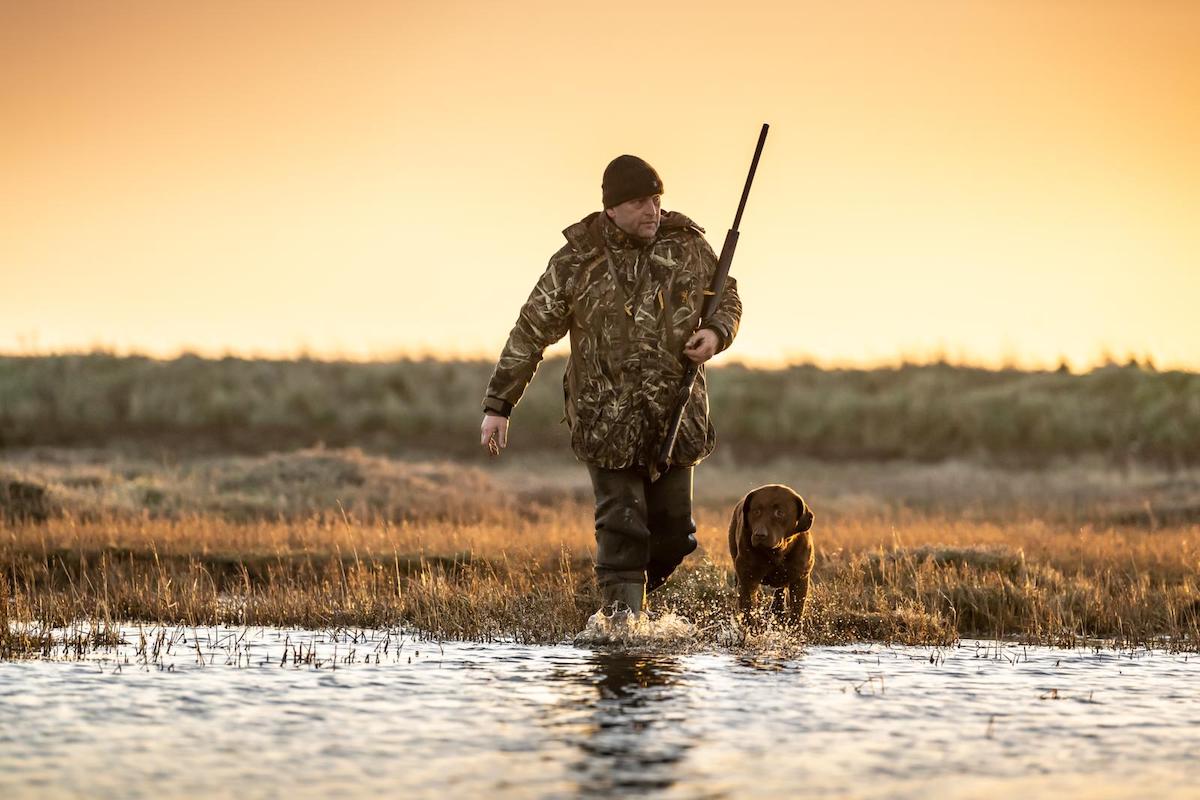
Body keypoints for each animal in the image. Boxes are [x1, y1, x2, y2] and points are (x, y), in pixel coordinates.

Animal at [724, 489, 811, 623]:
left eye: (780, 513)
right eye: (756, 511)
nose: (759, 535)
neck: (777, 553)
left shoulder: (800, 579)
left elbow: (796, 612)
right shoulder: (747, 578)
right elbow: (748, 608)